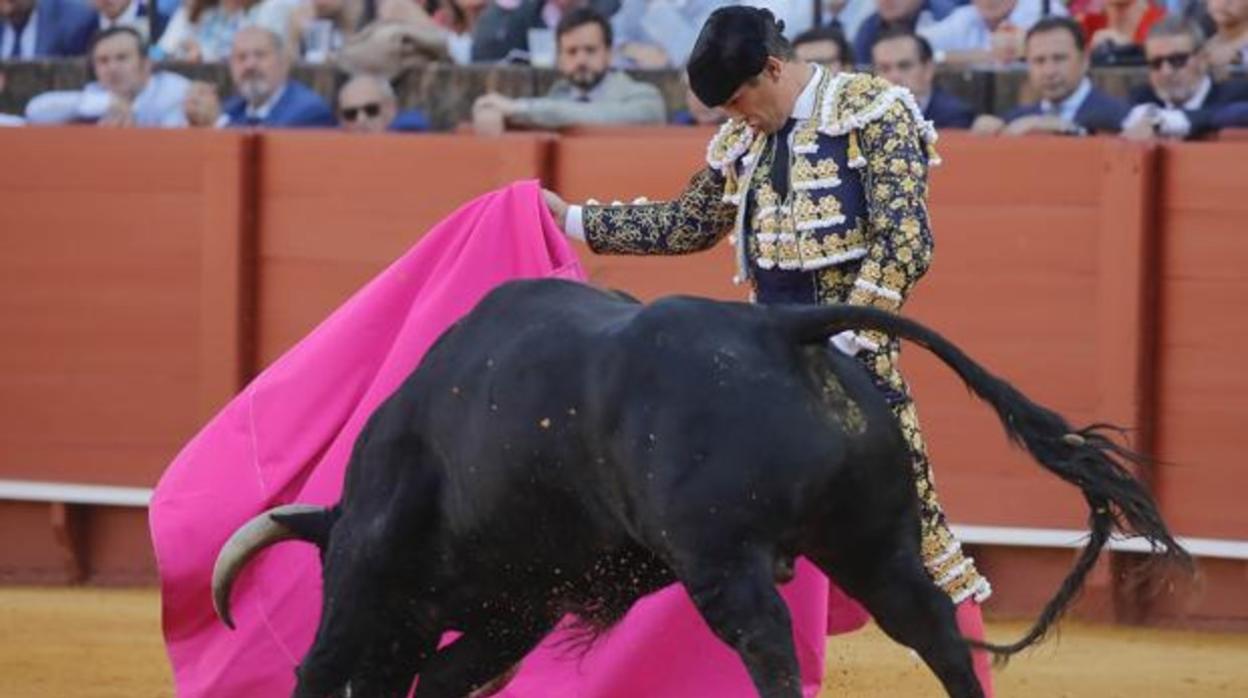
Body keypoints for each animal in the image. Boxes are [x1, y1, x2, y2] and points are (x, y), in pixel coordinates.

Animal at [212, 278, 1188, 698]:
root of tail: (781, 331)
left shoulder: (371, 574)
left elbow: (325, 663)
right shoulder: (520, 606)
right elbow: (445, 676)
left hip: (723, 561)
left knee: (769, 648)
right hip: (872, 544)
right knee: (937, 633)